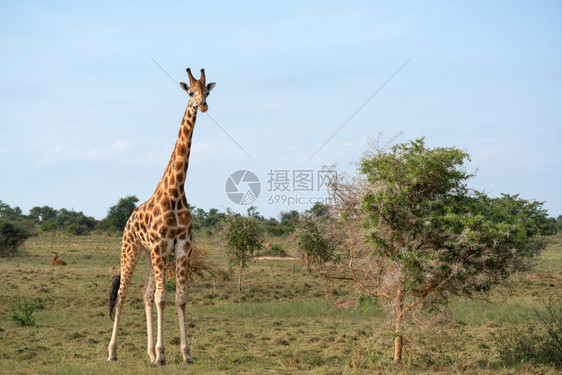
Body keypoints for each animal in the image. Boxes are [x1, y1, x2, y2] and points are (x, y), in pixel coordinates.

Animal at [107, 68, 214, 368]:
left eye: (208, 91)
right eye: (190, 92)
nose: (203, 105)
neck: (176, 191)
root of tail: (128, 220)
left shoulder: (181, 247)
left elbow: (179, 298)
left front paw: (185, 354)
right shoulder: (160, 246)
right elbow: (162, 298)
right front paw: (164, 353)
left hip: (147, 254)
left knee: (144, 293)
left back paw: (149, 352)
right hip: (132, 249)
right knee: (123, 294)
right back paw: (112, 352)